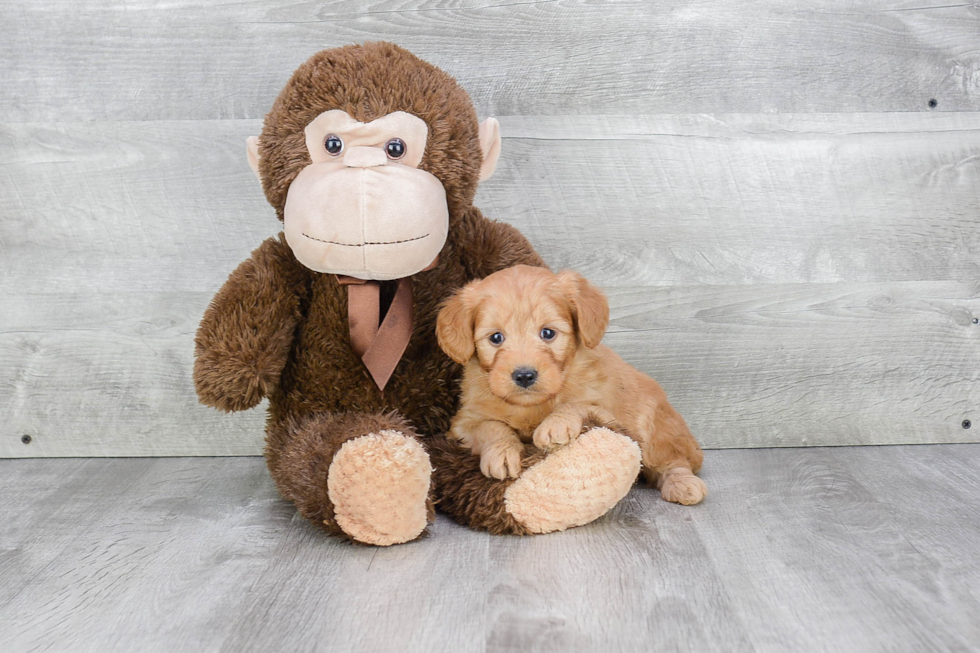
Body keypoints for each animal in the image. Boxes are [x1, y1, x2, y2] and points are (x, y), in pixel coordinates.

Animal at [436, 264, 704, 504]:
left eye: (548, 333)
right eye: (496, 337)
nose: (524, 375)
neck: (531, 406)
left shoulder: (606, 411)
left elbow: (577, 404)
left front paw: (555, 425)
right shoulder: (463, 424)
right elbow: (490, 426)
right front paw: (501, 452)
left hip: (655, 431)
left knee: (674, 463)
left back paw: (683, 485)